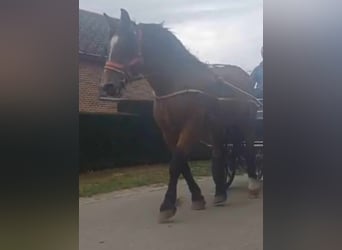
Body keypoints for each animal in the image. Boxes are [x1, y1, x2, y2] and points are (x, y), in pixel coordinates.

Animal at [99, 8, 262, 223]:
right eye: (108, 46)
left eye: (128, 43)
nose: (108, 86)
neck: (176, 85)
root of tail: (245, 77)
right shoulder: (168, 131)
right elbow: (182, 164)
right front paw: (197, 198)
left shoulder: (191, 127)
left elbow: (176, 164)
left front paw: (167, 206)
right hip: (218, 128)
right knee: (220, 154)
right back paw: (220, 193)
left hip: (247, 124)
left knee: (250, 150)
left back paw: (253, 186)